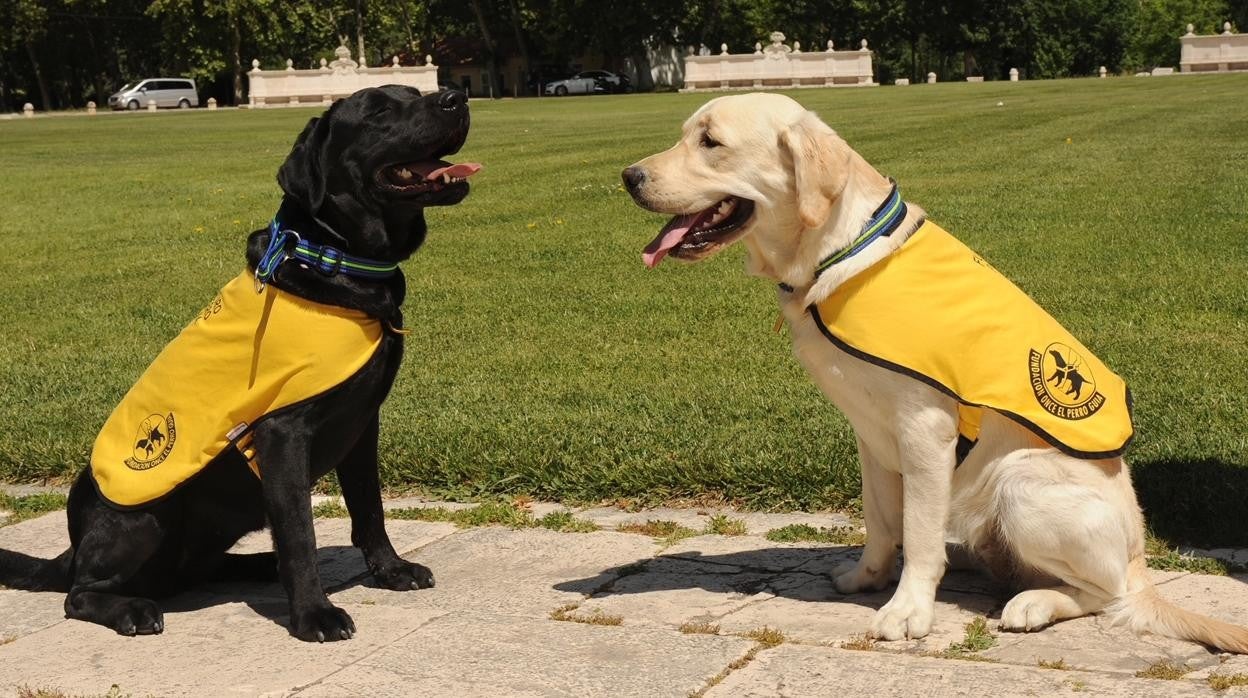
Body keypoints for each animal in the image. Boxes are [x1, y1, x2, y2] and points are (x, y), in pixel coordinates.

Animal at [0, 84, 476, 644]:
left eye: (415, 93)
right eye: (379, 110)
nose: (455, 97)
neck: (334, 258)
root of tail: (73, 547)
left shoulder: (362, 423)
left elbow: (369, 507)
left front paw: (391, 570)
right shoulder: (282, 434)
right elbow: (299, 532)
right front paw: (314, 614)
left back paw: (257, 566)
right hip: (144, 516)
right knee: (79, 594)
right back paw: (131, 609)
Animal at [624, 89, 1248, 654]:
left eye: (711, 142)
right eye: (685, 134)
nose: (628, 176)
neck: (839, 252)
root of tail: (1141, 556)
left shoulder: (925, 430)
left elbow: (920, 538)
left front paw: (907, 612)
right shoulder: (870, 433)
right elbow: (881, 521)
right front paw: (866, 579)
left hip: (1020, 481)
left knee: (1108, 594)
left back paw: (1034, 604)